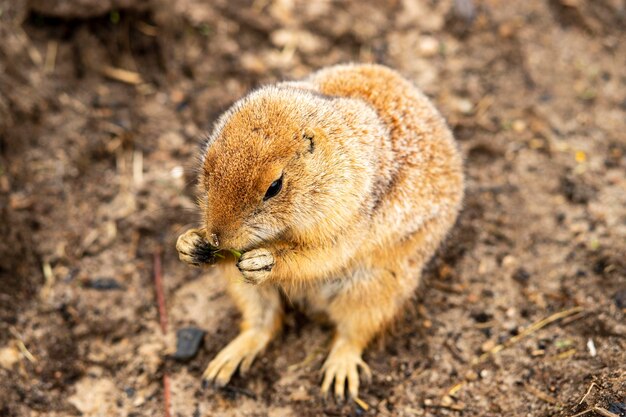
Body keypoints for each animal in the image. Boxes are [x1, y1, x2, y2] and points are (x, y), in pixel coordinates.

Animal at [176, 64, 464, 400]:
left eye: (274, 186)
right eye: (207, 170)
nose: (218, 237)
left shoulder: (348, 215)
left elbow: (322, 255)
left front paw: (264, 261)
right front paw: (190, 243)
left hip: (374, 288)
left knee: (353, 334)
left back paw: (340, 375)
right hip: (247, 290)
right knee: (262, 322)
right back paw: (225, 363)